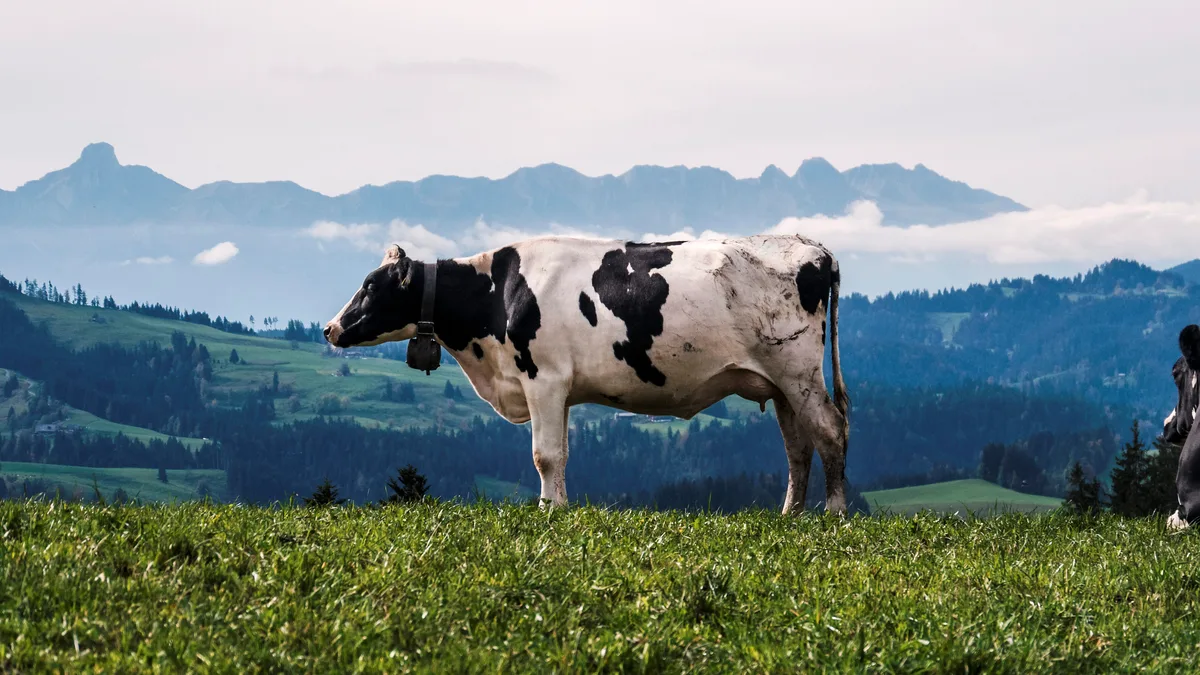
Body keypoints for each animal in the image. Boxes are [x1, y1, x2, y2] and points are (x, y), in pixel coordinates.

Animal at [323, 234, 851, 514]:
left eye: (370, 286)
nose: (330, 328)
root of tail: (814, 248)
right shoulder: (558, 389)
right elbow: (561, 455)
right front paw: (556, 507)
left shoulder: (543, 378)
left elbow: (545, 455)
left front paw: (549, 510)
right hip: (780, 385)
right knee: (798, 448)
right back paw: (789, 515)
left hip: (799, 373)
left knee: (830, 431)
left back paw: (834, 512)